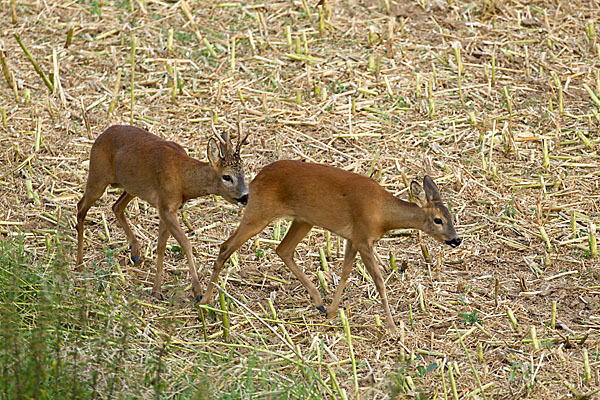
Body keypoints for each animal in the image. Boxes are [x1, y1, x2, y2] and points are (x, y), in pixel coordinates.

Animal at [76, 125, 250, 300]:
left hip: (131, 186)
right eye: (227, 176)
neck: (182, 179)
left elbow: (161, 246)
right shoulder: (166, 206)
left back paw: (135, 253)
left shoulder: (166, 207)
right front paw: (198, 292)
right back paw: (79, 264)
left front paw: (156, 289)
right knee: (81, 207)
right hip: (98, 176)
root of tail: (102, 134)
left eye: (244, 173)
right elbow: (185, 243)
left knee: (116, 206)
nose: (245, 197)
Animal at [199, 161, 462, 332]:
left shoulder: (352, 238)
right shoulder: (363, 238)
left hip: (303, 219)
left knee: (283, 249)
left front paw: (333, 312)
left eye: (451, 217)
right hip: (259, 212)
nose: (456, 239)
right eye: (438, 220)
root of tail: (255, 179)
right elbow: (378, 281)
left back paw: (319, 302)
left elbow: (345, 273)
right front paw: (393, 328)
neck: (383, 214)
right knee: (225, 247)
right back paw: (205, 299)